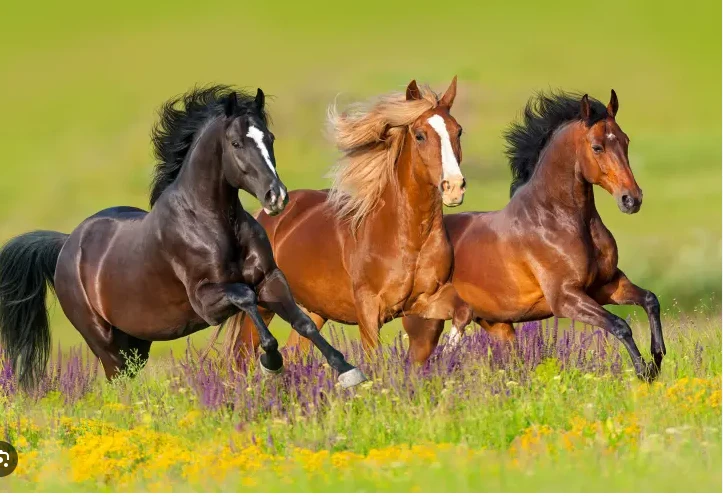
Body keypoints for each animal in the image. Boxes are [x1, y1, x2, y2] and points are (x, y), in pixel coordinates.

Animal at [0, 85, 368, 392]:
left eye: (270, 138)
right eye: (236, 143)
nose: (276, 196)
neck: (213, 224)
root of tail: (66, 245)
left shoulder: (270, 278)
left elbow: (304, 322)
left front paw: (348, 372)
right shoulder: (207, 301)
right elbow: (246, 298)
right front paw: (271, 363)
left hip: (136, 342)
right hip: (103, 341)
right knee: (117, 381)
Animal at [232, 78, 470, 358]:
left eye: (458, 132)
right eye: (420, 135)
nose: (454, 187)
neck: (409, 237)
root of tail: (263, 216)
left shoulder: (427, 299)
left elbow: (462, 312)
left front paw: (447, 354)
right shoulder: (368, 310)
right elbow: (374, 357)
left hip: (315, 310)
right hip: (263, 304)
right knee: (241, 354)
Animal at [402, 91, 668, 380]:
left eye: (625, 141)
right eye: (598, 147)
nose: (631, 199)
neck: (556, 219)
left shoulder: (606, 285)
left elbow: (650, 300)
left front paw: (657, 357)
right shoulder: (566, 299)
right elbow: (620, 325)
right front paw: (644, 371)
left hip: (497, 325)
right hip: (426, 325)